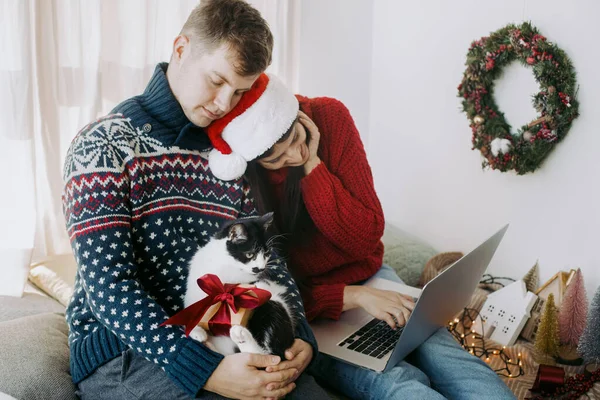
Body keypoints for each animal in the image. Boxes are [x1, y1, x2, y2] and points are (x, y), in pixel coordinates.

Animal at [183, 214, 296, 358]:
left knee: (268, 354)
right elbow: (192, 305)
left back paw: (240, 335)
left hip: (273, 307)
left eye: (266, 253)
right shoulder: (197, 283)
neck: (228, 265)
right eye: (249, 254)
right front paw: (196, 330)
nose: (260, 268)